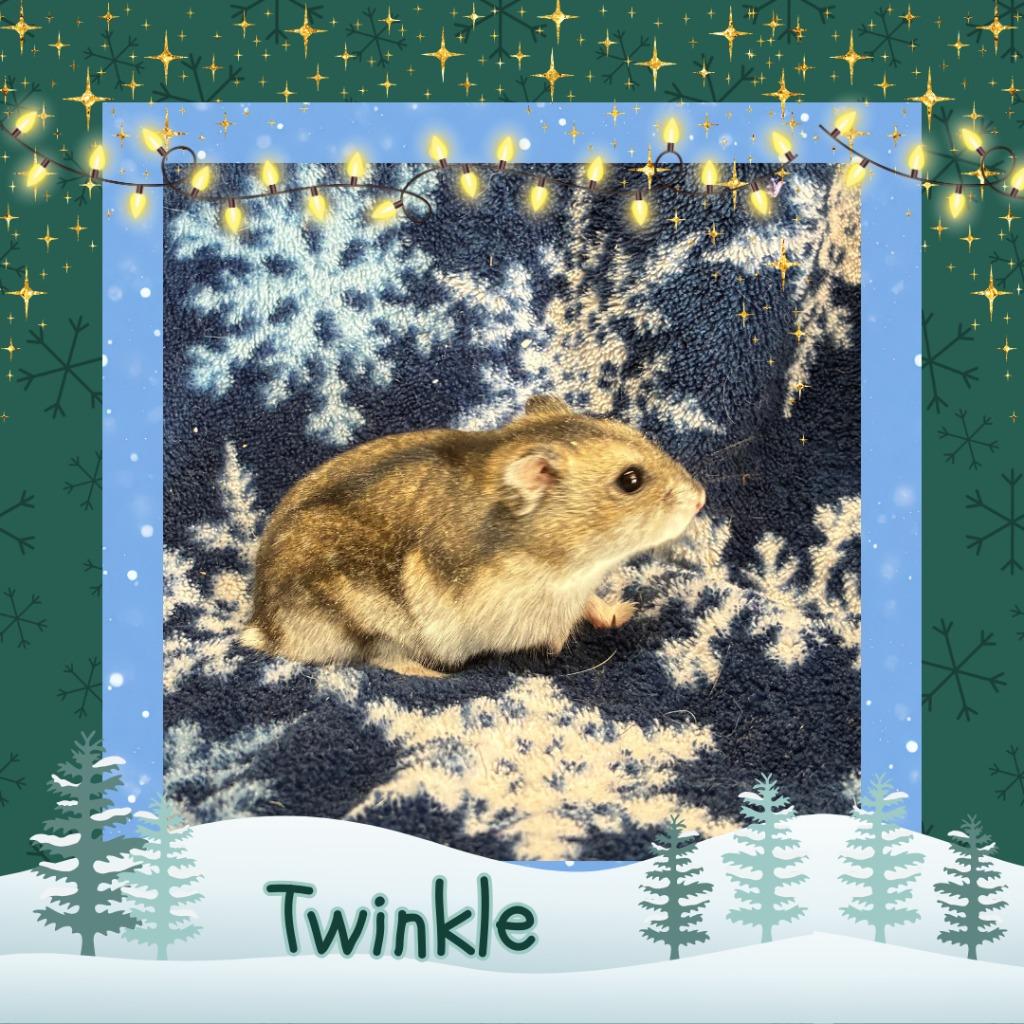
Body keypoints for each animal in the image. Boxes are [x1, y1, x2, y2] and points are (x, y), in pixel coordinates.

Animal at [240, 395, 706, 676]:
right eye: (631, 480)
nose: (702, 497)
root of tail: (264, 627)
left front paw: (623, 611)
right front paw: (564, 643)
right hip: (363, 619)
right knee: (381, 659)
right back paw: (431, 675)